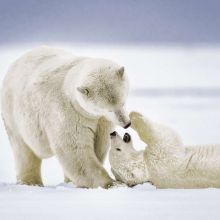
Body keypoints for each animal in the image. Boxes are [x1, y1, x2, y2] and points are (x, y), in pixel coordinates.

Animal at [1, 46, 131, 187]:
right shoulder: (68, 113)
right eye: (108, 110)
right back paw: (31, 182)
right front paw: (112, 183)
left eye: (123, 103)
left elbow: (100, 143)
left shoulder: (100, 120)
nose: (127, 124)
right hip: (13, 113)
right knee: (23, 150)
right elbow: (75, 150)